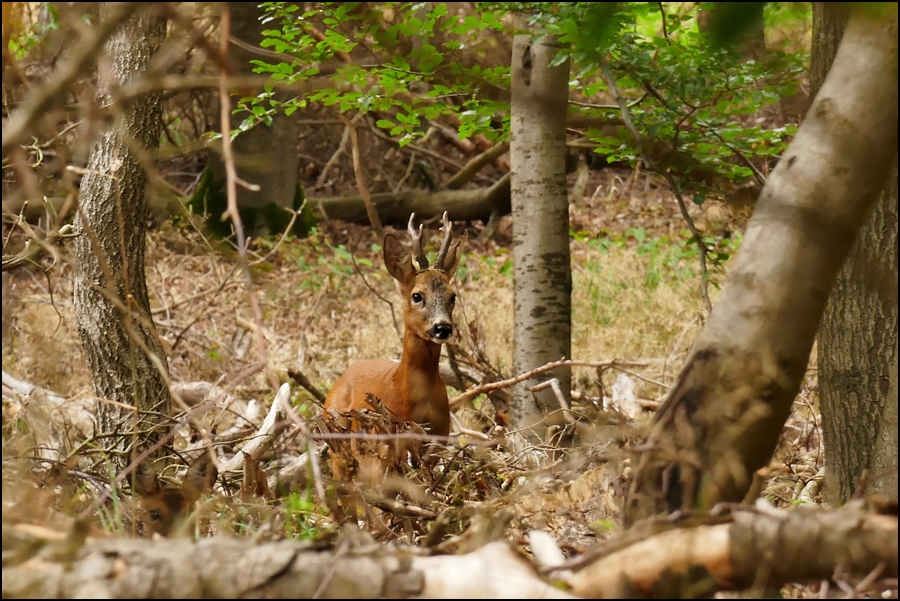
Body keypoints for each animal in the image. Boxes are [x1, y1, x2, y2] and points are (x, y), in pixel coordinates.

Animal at [324, 212, 464, 482]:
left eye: (452, 296)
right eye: (417, 295)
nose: (442, 328)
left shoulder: (439, 437)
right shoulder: (387, 441)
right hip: (338, 439)